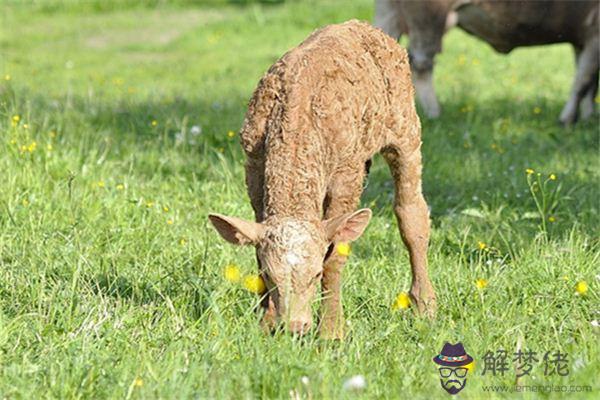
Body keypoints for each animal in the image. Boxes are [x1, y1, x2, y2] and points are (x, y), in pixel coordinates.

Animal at [376, 0, 600, 125]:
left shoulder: (582, 40)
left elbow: (589, 83)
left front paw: (588, 116)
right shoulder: (594, 33)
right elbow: (582, 81)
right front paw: (567, 119)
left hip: (391, 12)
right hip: (428, 17)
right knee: (421, 64)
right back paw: (434, 113)